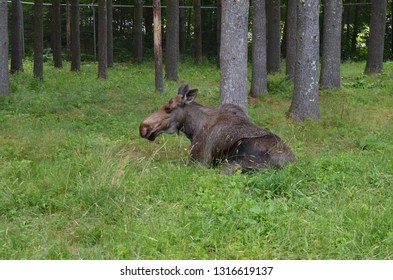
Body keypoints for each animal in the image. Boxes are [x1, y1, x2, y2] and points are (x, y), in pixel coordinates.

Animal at [138, 83, 294, 173]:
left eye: (168, 109)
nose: (143, 128)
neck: (192, 129)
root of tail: (288, 163)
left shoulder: (199, 160)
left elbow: (166, 164)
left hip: (235, 159)